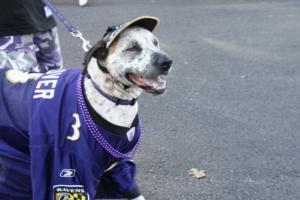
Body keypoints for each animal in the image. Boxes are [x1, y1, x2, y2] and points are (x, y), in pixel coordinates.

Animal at [0, 16, 171, 200]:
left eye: (155, 43)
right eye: (132, 48)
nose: (167, 62)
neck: (112, 98)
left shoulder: (120, 166)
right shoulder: (71, 169)